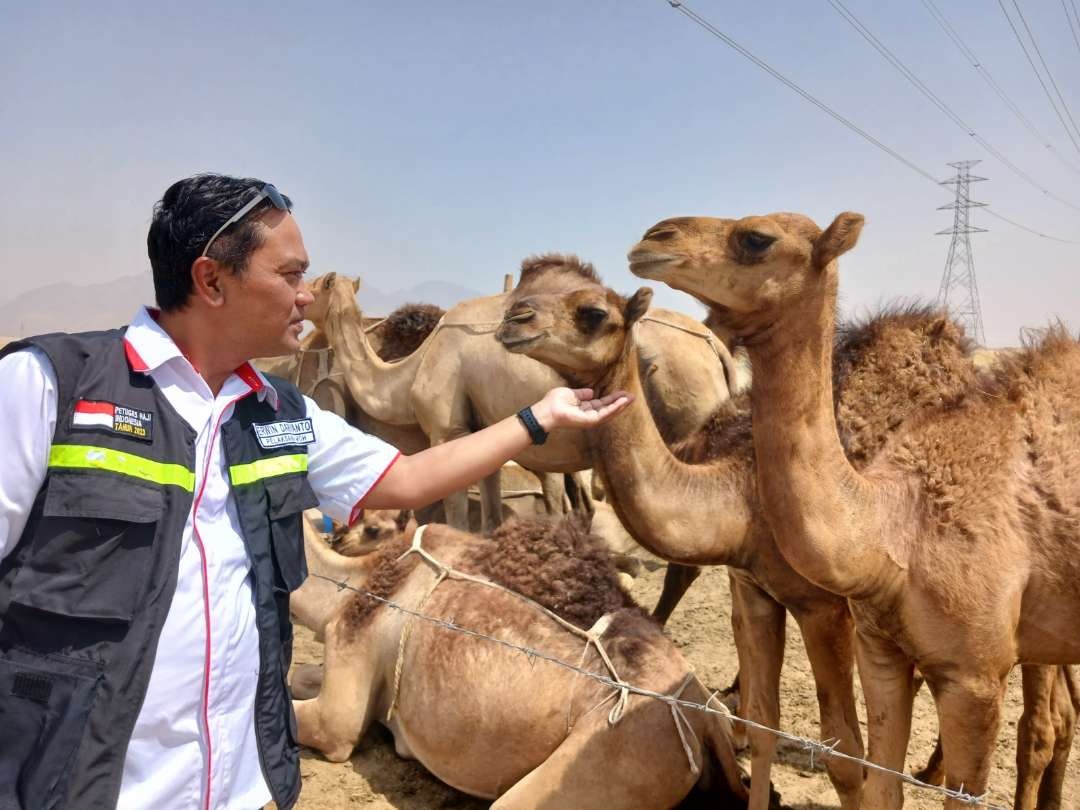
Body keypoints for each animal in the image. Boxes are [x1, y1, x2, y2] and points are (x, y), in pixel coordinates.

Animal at [291, 516, 756, 807]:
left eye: (370, 527)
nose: (337, 537)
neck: (348, 586)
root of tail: (700, 720)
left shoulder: (339, 714)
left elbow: (314, 719)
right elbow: (298, 676)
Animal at [315, 260, 738, 535]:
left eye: (317, 283)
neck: (412, 369)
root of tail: (715, 346)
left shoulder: (446, 430)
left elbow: (456, 518)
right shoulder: (479, 432)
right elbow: (488, 519)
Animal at [630, 210, 1080, 810]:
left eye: (756, 239)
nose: (653, 238)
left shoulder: (942, 660)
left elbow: (849, 755)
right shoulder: (803, 610)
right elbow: (833, 756)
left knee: (1041, 724)